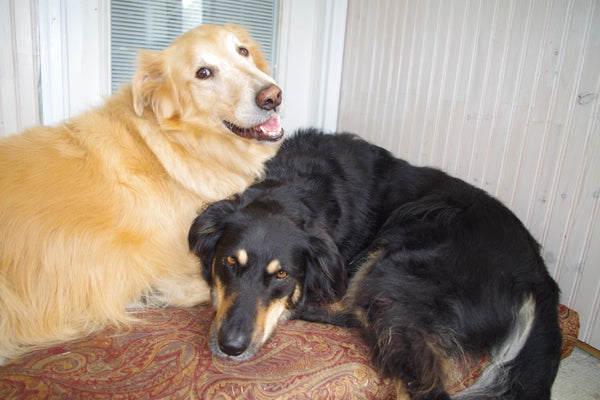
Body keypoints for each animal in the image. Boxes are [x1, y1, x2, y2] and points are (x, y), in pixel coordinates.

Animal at [191, 130, 564, 400]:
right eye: (229, 262)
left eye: (282, 274)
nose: (231, 347)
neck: (297, 187)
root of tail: (541, 278)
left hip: (398, 264)